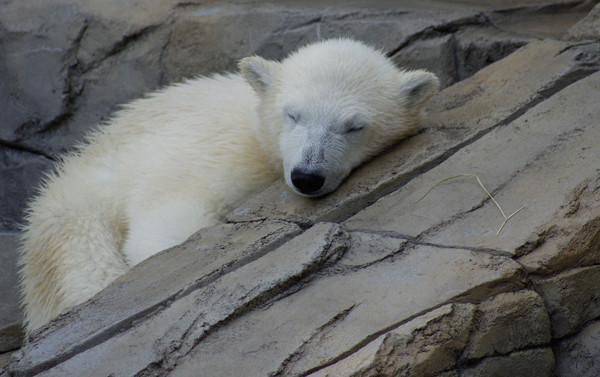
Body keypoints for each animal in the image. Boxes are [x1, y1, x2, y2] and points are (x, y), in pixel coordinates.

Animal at [19, 38, 440, 330]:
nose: (307, 177)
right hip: (73, 213)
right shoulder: (214, 153)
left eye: (354, 127)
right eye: (293, 114)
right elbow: (168, 218)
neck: (255, 123)